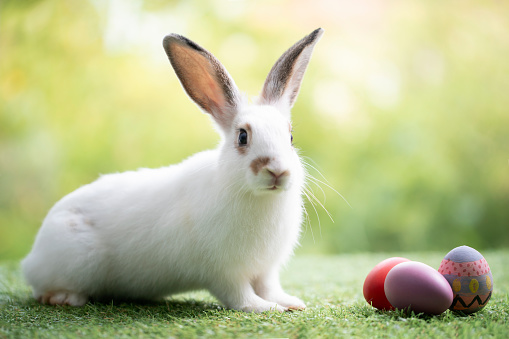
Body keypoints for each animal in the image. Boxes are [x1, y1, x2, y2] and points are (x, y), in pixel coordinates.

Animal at [21, 27, 324, 312]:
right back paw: (63, 298)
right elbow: (240, 296)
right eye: (242, 137)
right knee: (43, 289)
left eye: (291, 137)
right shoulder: (225, 273)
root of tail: (33, 255)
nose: (277, 171)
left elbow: (270, 287)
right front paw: (264, 308)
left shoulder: (266, 269)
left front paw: (290, 303)